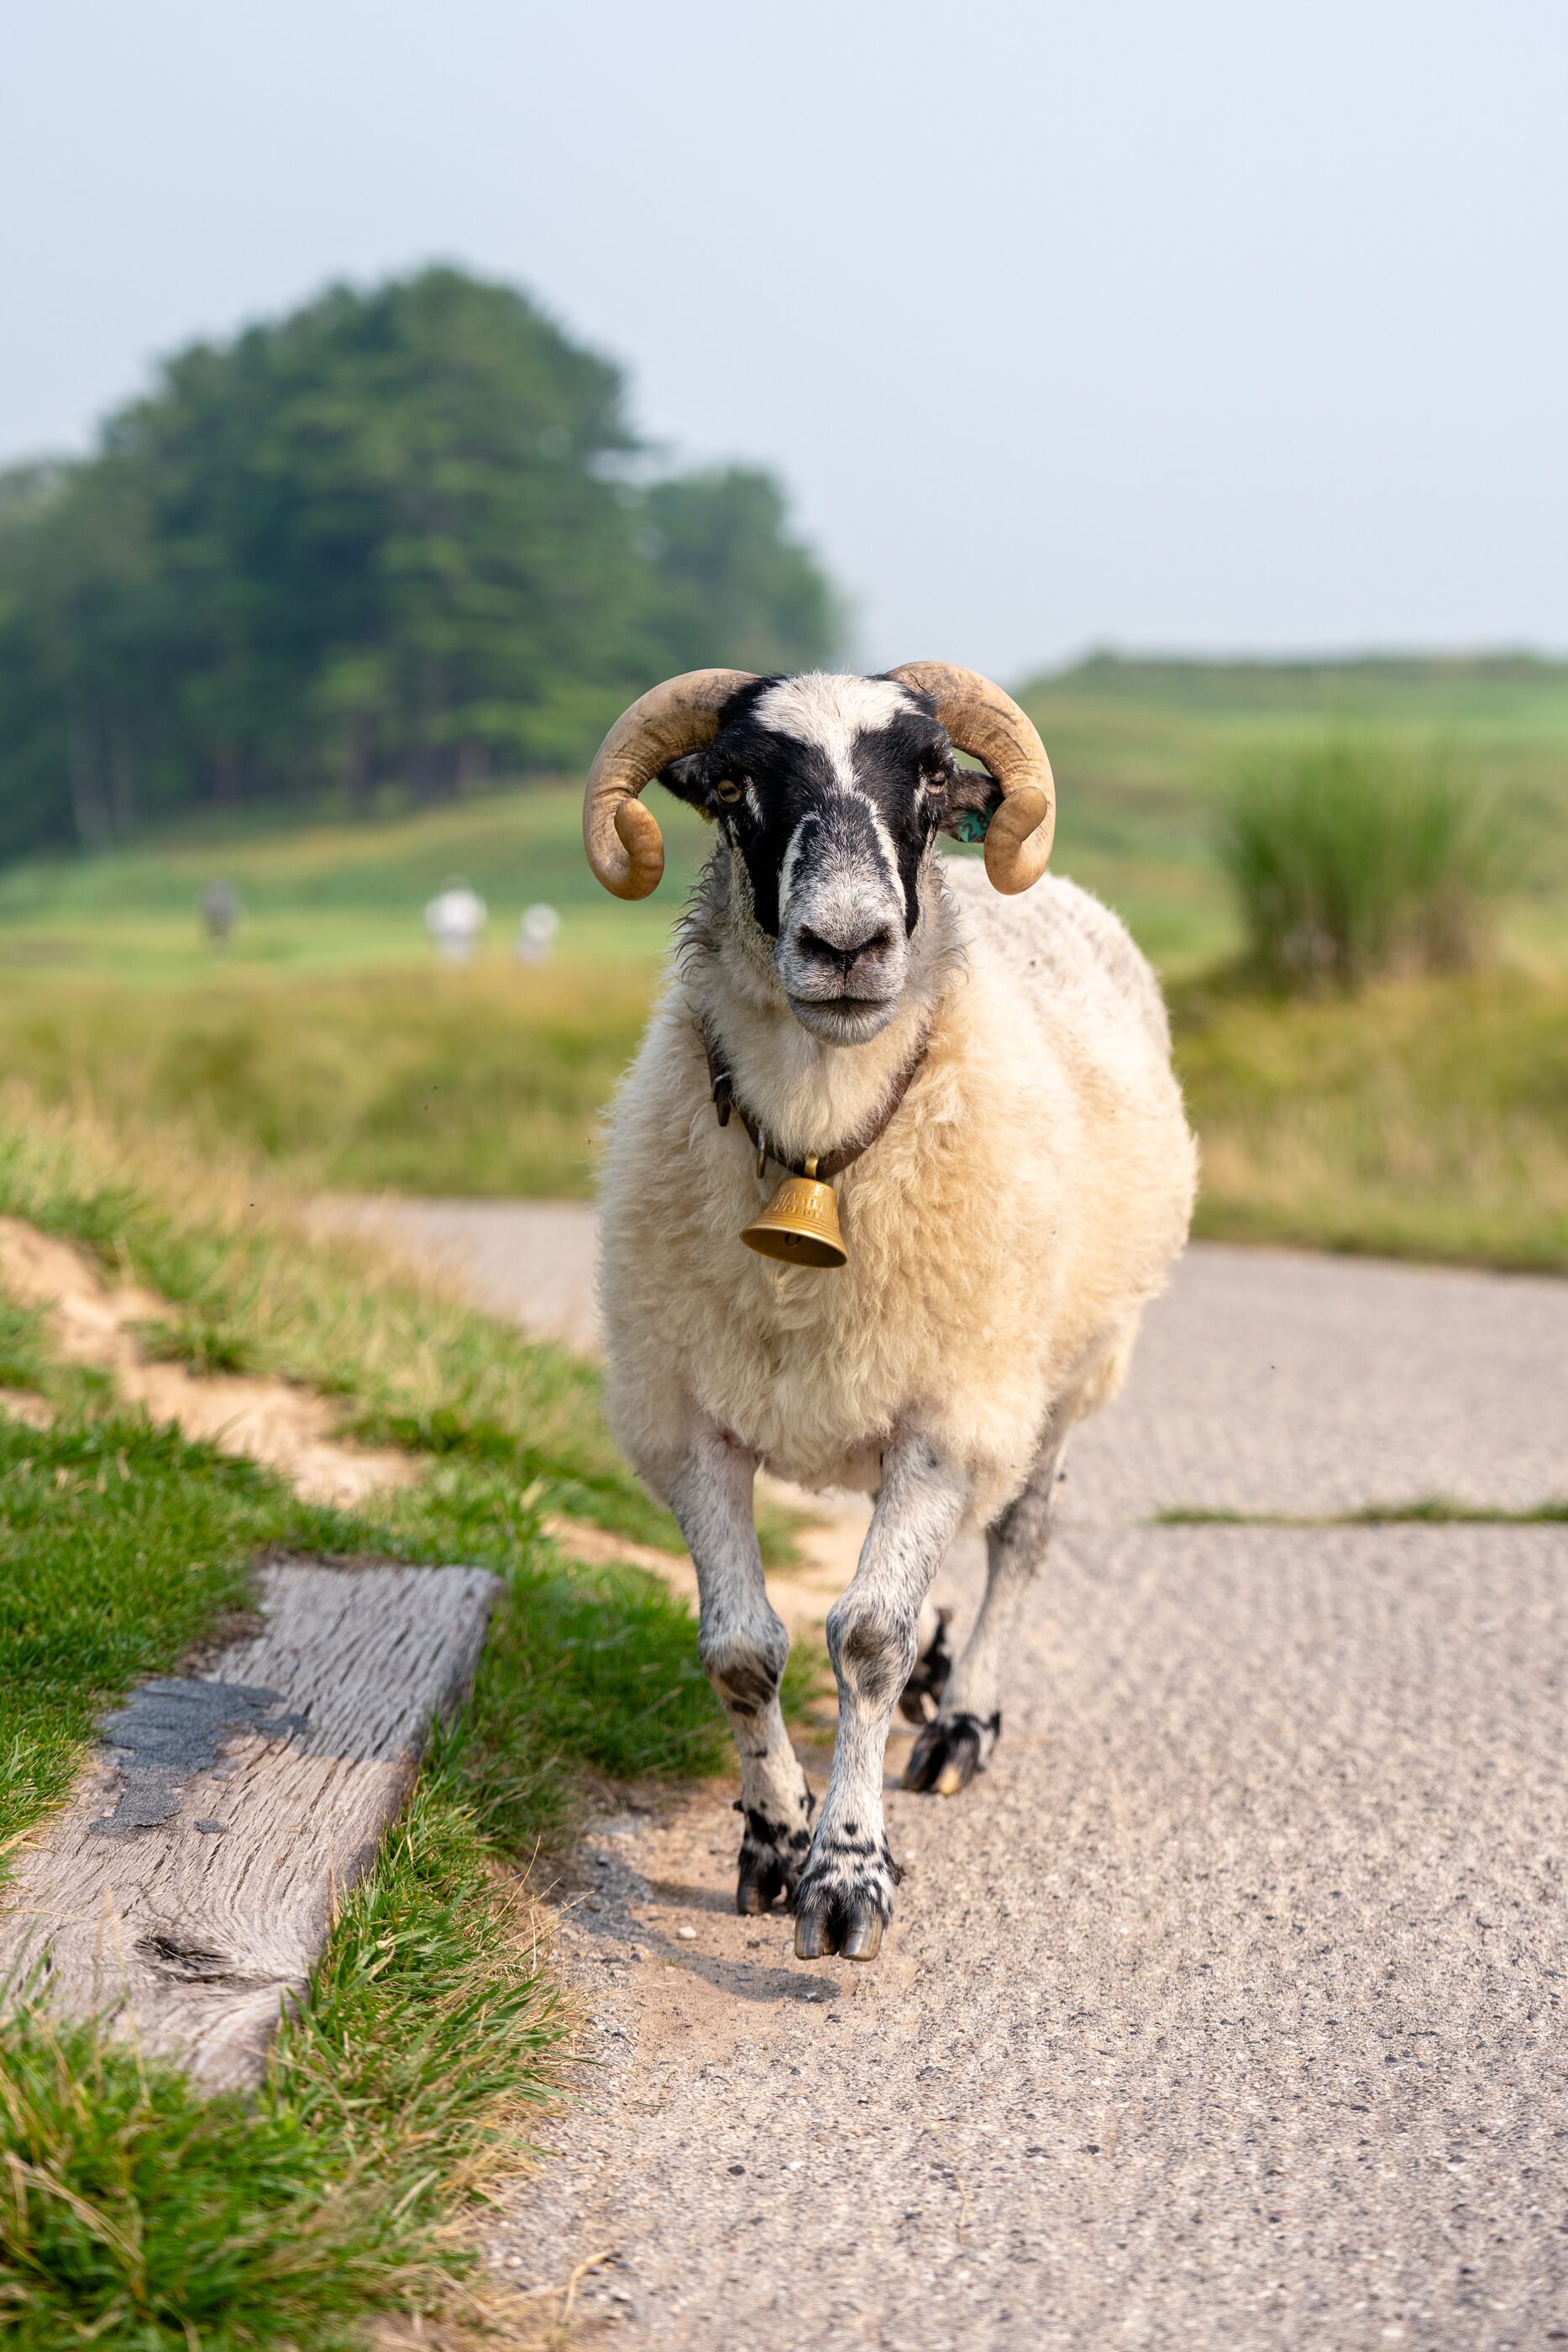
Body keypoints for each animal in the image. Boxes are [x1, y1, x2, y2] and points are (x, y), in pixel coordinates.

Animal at [584, 664, 1196, 1962]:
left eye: (927, 777)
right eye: (732, 783)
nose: (848, 943)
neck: (823, 1143)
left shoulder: (946, 1419)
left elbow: (865, 1634)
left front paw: (847, 1873)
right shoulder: (688, 1422)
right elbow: (740, 1650)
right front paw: (772, 1844)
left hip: (1057, 1370)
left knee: (1020, 1538)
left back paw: (958, 1719)